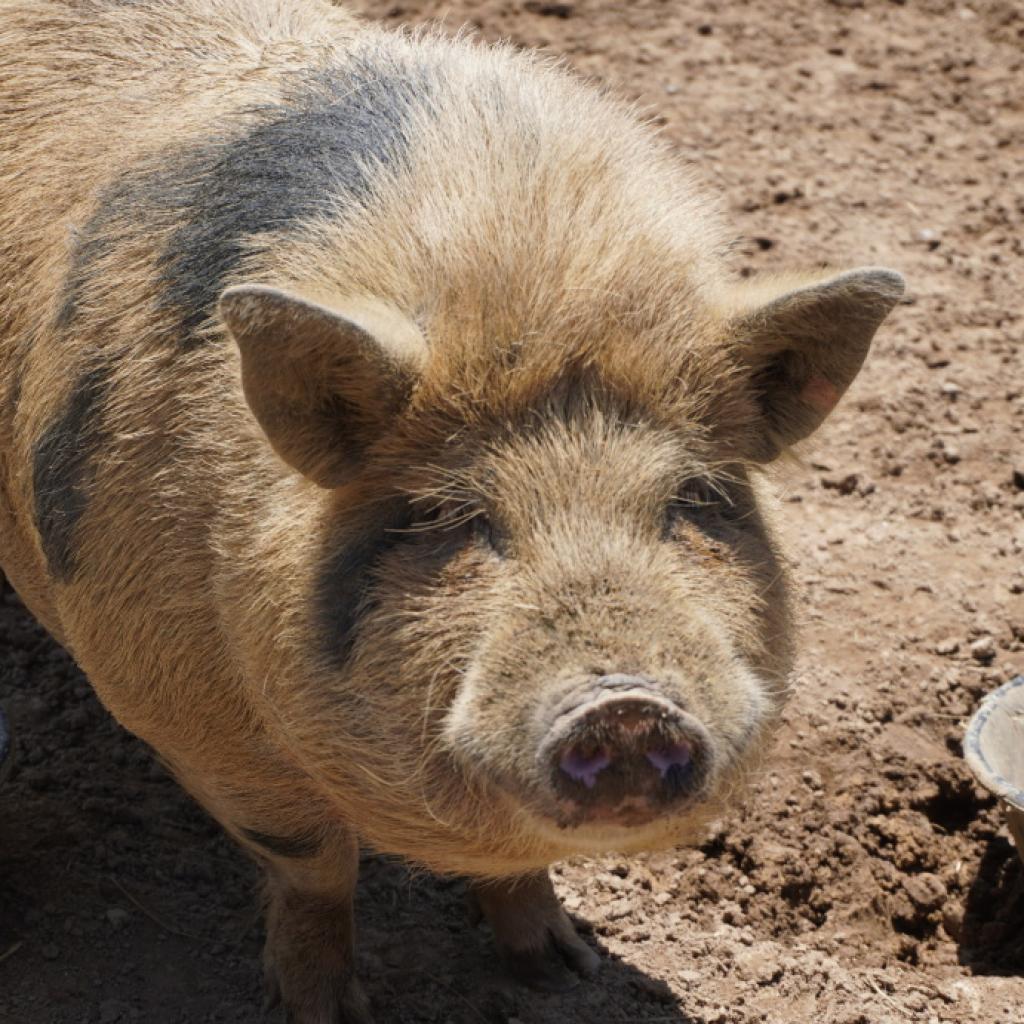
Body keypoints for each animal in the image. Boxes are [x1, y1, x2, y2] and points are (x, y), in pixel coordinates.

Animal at [0, 0, 904, 1020]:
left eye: (692, 502)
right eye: (453, 517)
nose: (626, 703)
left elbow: (514, 874)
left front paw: (566, 970)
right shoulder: (171, 698)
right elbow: (316, 865)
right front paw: (325, 1011)